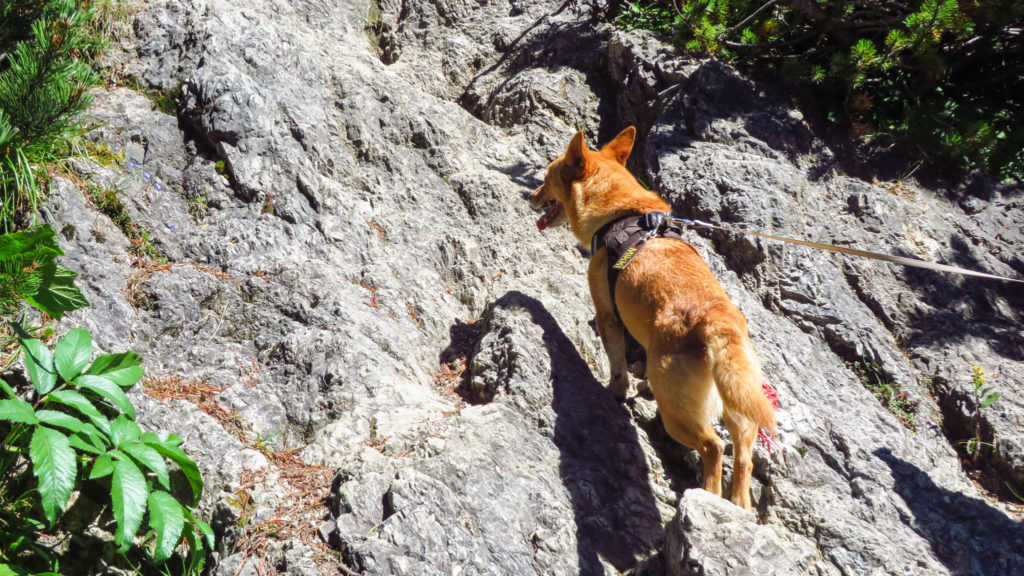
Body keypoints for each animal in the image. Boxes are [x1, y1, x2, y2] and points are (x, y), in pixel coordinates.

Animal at [532, 126, 770, 506]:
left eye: (545, 179)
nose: (530, 196)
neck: (623, 213)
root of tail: (718, 322)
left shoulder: (607, 316)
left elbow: (617, 366)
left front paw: (614, 393)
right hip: (740, 399)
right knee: (743, 457)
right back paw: (739, 506)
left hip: (675, 410)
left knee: (714, 447)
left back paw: (706, 495)